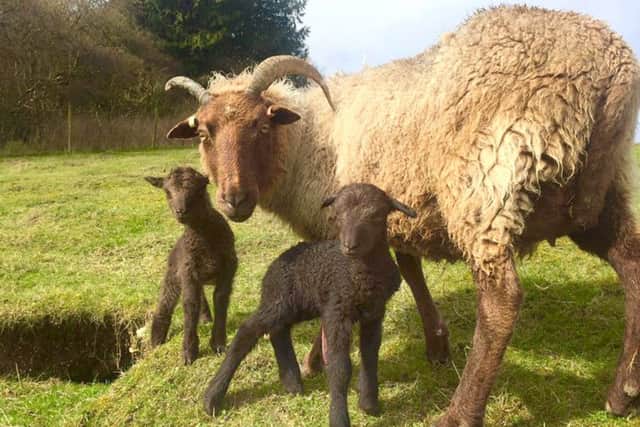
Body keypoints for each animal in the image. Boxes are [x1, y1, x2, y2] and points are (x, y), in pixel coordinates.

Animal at [145, 167, 237, 365]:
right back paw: (156, 341)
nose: (181, 211)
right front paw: (189, 352)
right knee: (165, 304)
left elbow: (220, 298)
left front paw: (218, 344)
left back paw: (205, 318)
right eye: (167, 192)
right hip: (174, 273)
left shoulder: (229, 266)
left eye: (198, 189)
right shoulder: (188, 269)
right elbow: (189, 304)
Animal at [202, 183, 417, 426]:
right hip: (278, 300)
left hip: (300, 304)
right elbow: (339, 367)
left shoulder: (374, 313)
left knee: (279, 330)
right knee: (249, 329)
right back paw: (212, 398)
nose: (349, 245)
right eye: (336, 216)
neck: (361, 272)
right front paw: (339, 417)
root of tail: (275, 265)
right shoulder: (336, 311)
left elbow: (370, 357)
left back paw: (292, 383)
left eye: (376, 216)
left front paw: (369, 405)